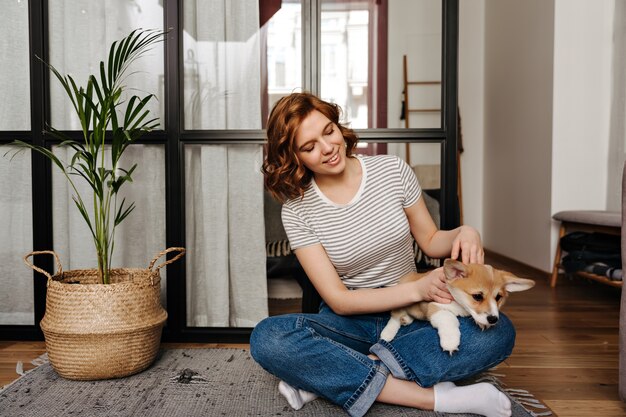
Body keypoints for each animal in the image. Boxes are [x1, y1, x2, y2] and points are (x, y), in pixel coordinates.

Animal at [378, 258, 532, 352]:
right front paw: (450, 340)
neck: (460, 306)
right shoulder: (435, 305)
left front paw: (481, 322)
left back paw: (406, 319)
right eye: (477, 296)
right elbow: (448, 318)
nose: (493, 319)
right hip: (400, 301)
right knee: (395, 317)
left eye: (498, 297)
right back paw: (388, 333)